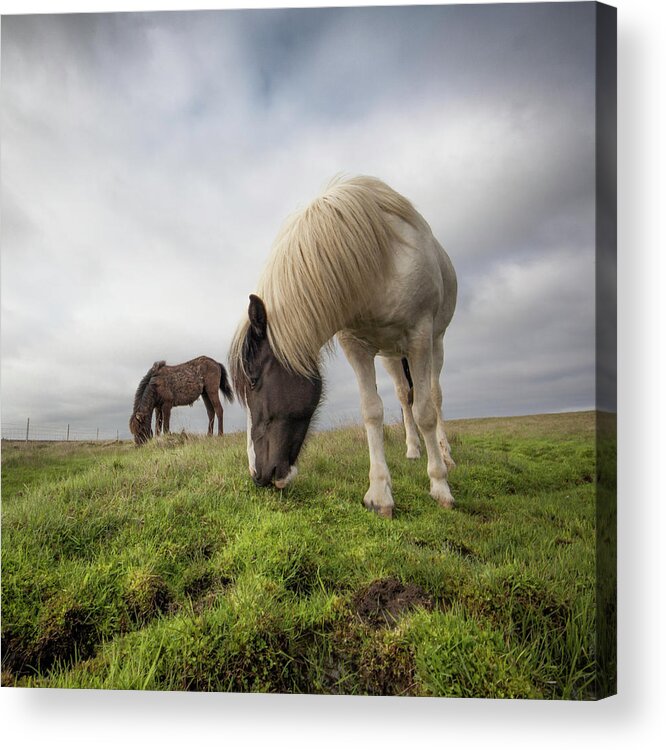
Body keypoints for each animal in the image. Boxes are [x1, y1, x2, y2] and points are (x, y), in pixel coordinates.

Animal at [230, 176, 456, 520]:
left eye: (254, 381)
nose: (257, 475)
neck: (378, 264)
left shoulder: (420, 335)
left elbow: (427, 412)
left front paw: (440, 485)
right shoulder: (356, 346)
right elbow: (372, 411)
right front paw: (379, 494)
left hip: (435, 344)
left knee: (433, 396)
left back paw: (445, 455)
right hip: (392, 356)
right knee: (404, 396)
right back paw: (413, 449)